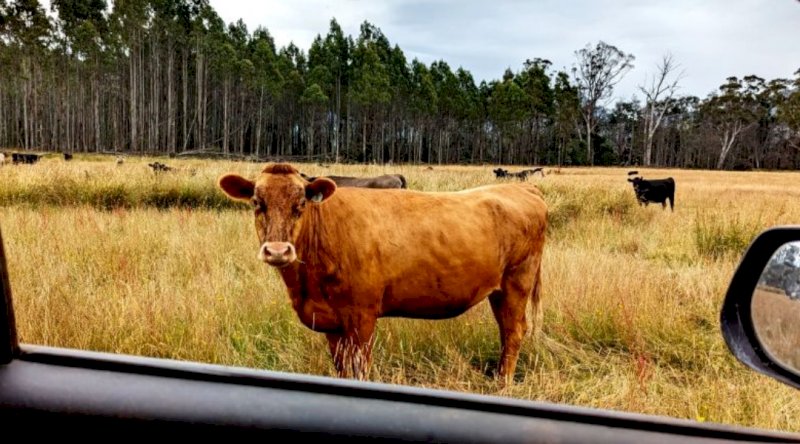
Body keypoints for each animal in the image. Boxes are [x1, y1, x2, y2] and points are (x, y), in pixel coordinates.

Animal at [218, 163, 547, 382]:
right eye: (257, 202)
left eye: (300, 204)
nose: (277, 251)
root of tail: (523, 187)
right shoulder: (332, 323)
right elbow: (342, 368)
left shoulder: (362, 317)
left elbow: (360, 367)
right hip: (499, 291)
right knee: (506, 331)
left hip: (517, 281)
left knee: (514, 331)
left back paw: (503, 383)